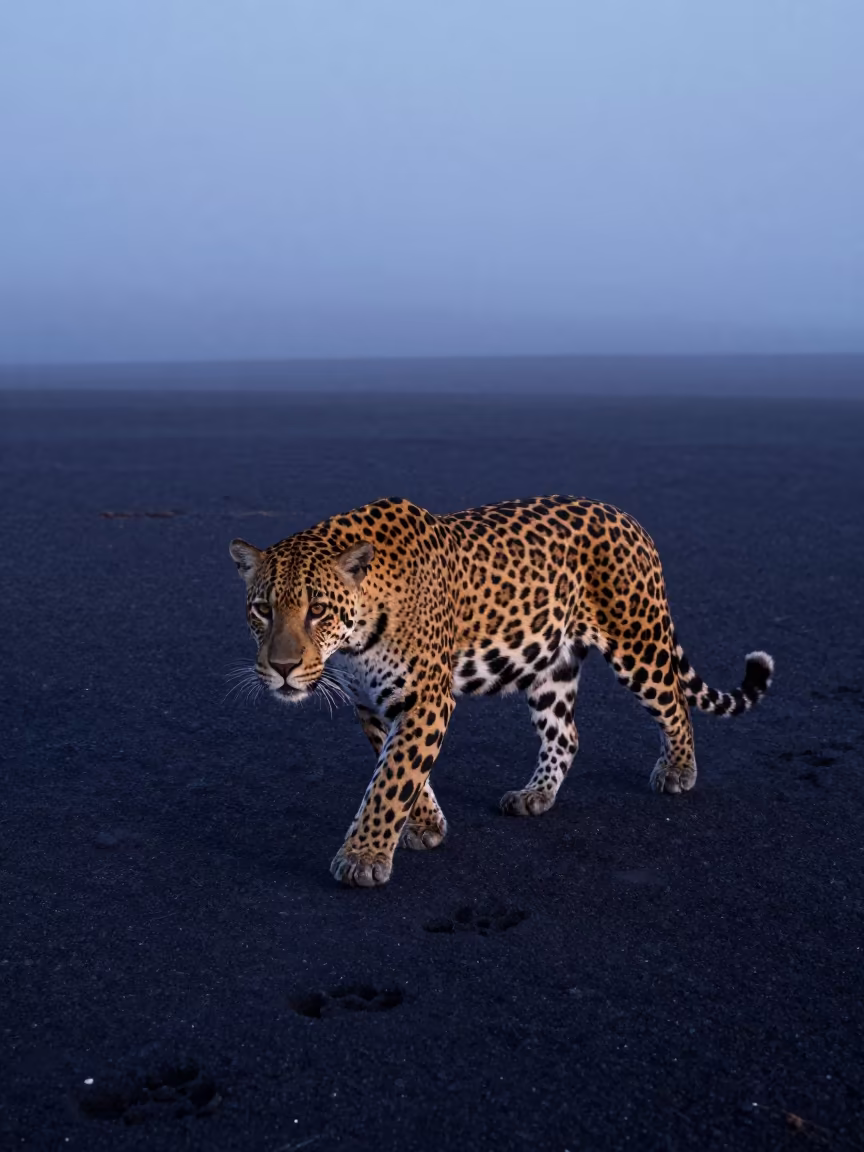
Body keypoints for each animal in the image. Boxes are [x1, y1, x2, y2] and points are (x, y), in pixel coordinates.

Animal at [229, 495, 773, 888]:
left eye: (318, 610)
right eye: (262, 610)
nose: (282, 668)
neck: (356, 635)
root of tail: (627, 517)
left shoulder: (426, 698)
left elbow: (391, 780)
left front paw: (363, 857)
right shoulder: (374, 705)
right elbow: (401, 773)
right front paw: (424, 826)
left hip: (637, 640)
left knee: (674, 701)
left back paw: (678, 770)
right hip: (552, 664)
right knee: (566, 735)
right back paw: (535, 795)